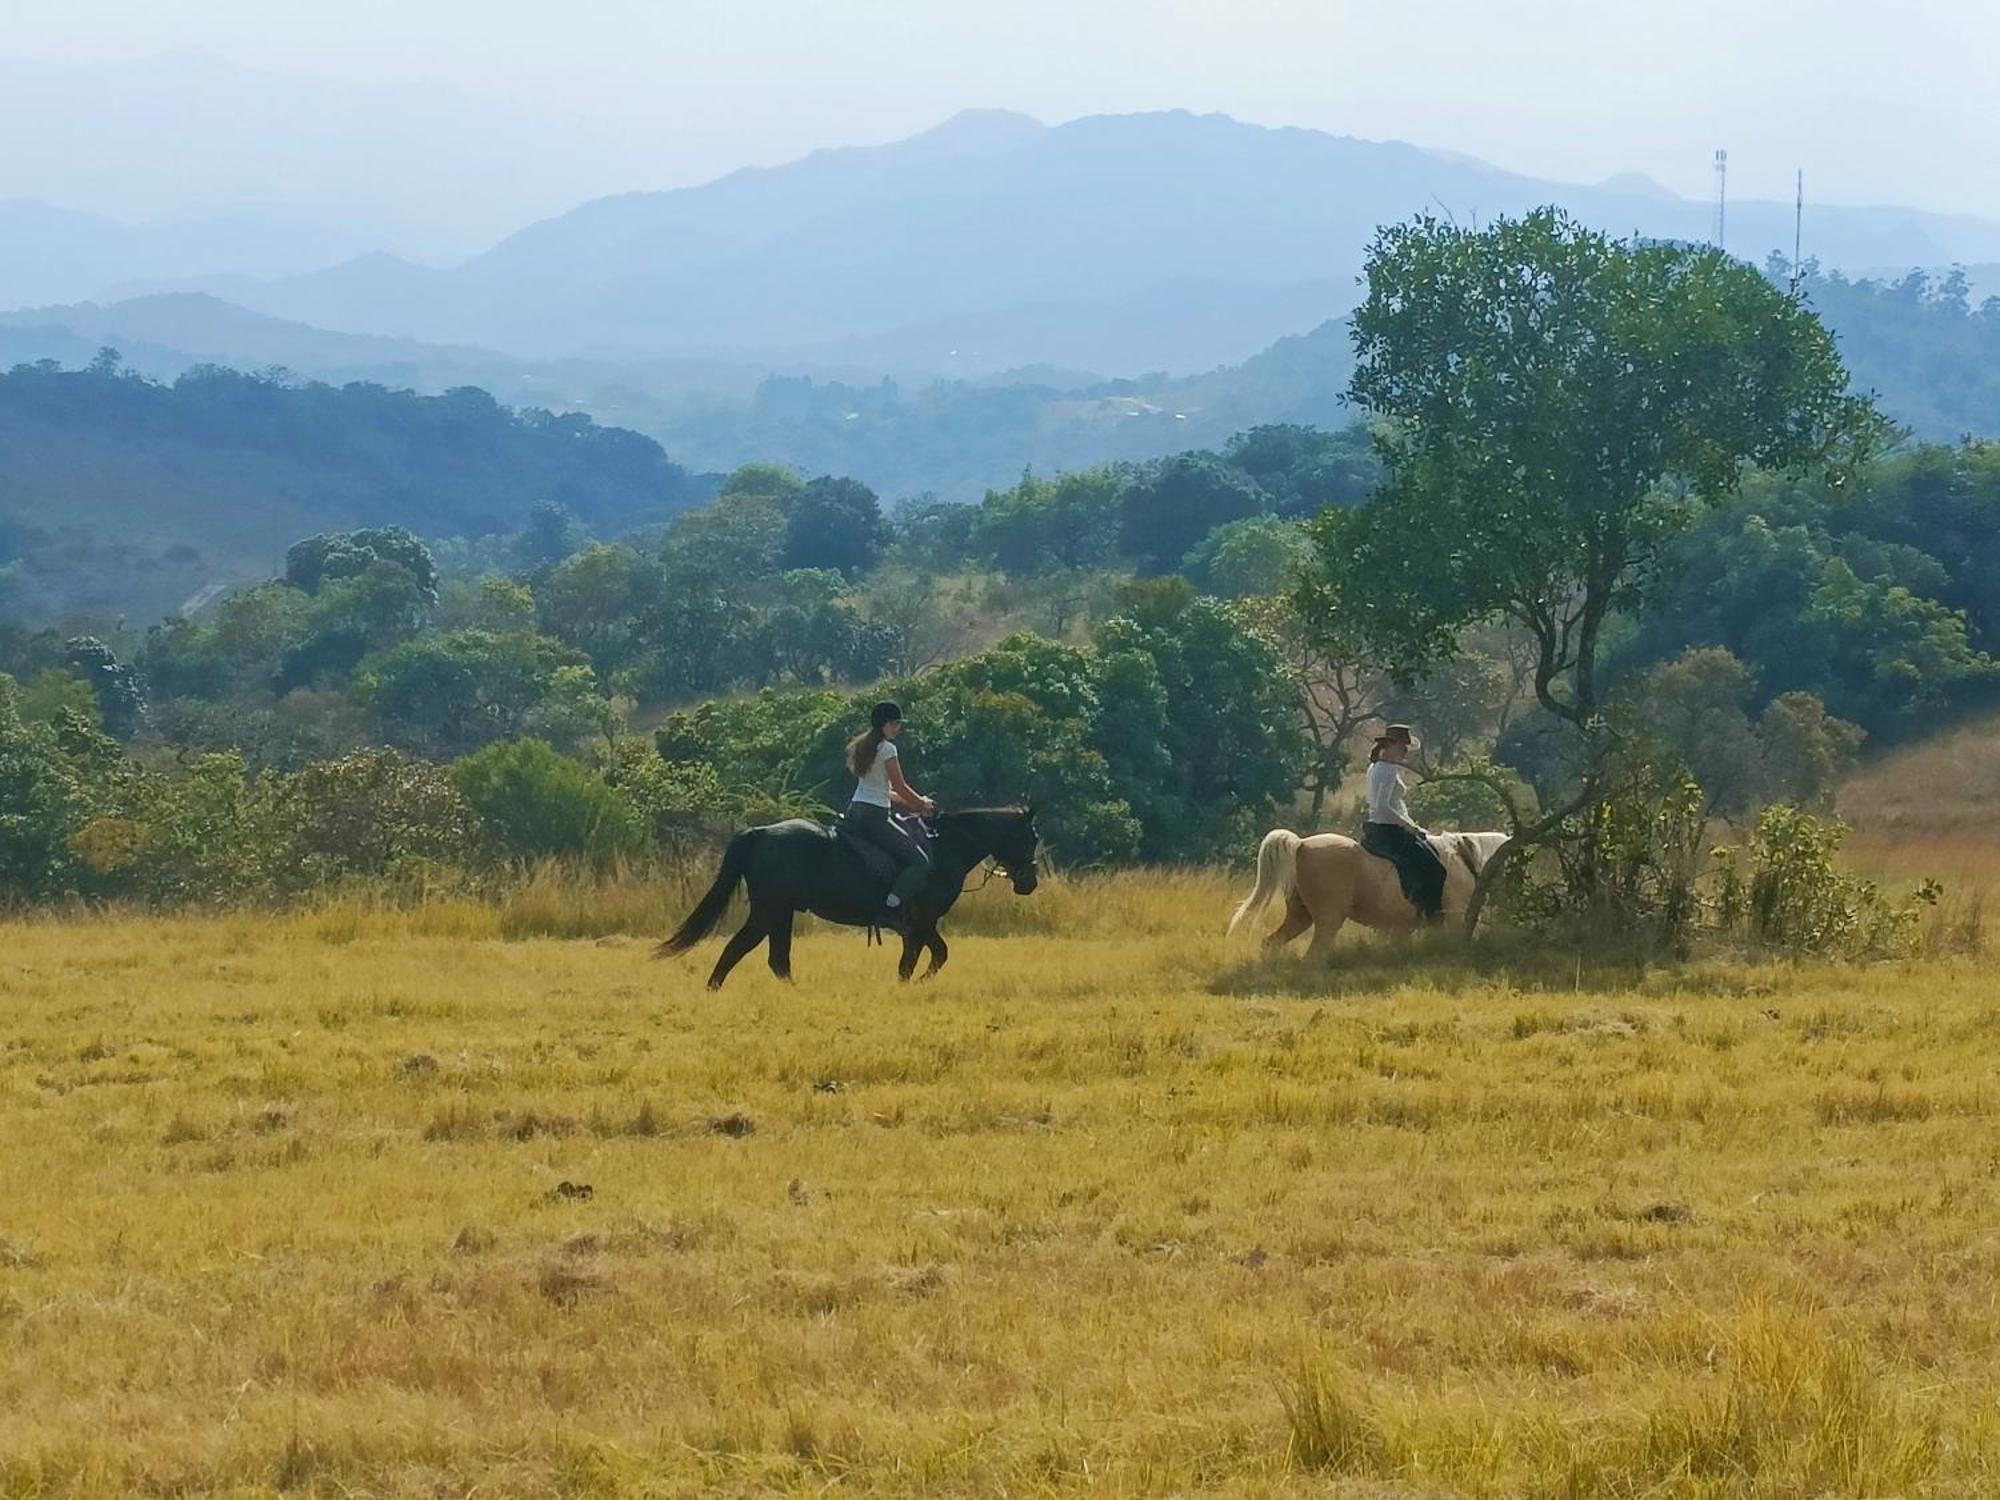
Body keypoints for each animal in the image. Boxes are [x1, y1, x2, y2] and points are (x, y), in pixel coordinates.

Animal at [656, 804, 1040, 992]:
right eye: (1031, 837)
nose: (1030, 883)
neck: (945, 848)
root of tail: (761, 832)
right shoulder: (922, 920)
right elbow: (928, 956)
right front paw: (912, 984)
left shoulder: (918, 925)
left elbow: (926, 956)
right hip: (769, 910)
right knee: (737, 948)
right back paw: (714, 989)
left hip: (781, 911)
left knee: (777, 959)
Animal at [1224, 828, 1504, 956]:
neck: (1465, 860)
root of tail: (1301, 844)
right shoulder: (1455, 918)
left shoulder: (1402, 928)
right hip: (1328, 919)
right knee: (1316, 952)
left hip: (1300, 916)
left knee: (1271, 943)